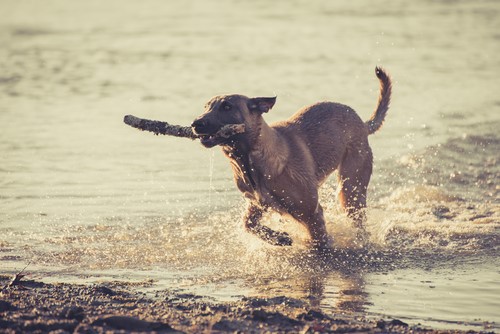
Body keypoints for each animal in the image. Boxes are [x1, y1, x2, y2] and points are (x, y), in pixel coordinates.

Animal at [191, 66, 390, 247]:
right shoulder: (257, 204)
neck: (249, 159)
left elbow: (319, 240)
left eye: (227, 106)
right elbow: (248, 224)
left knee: (359, 222)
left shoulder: (311, 212)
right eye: (206, 107)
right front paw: (278, 237)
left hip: (351, 188)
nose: (195, 123)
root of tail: (362, 124)